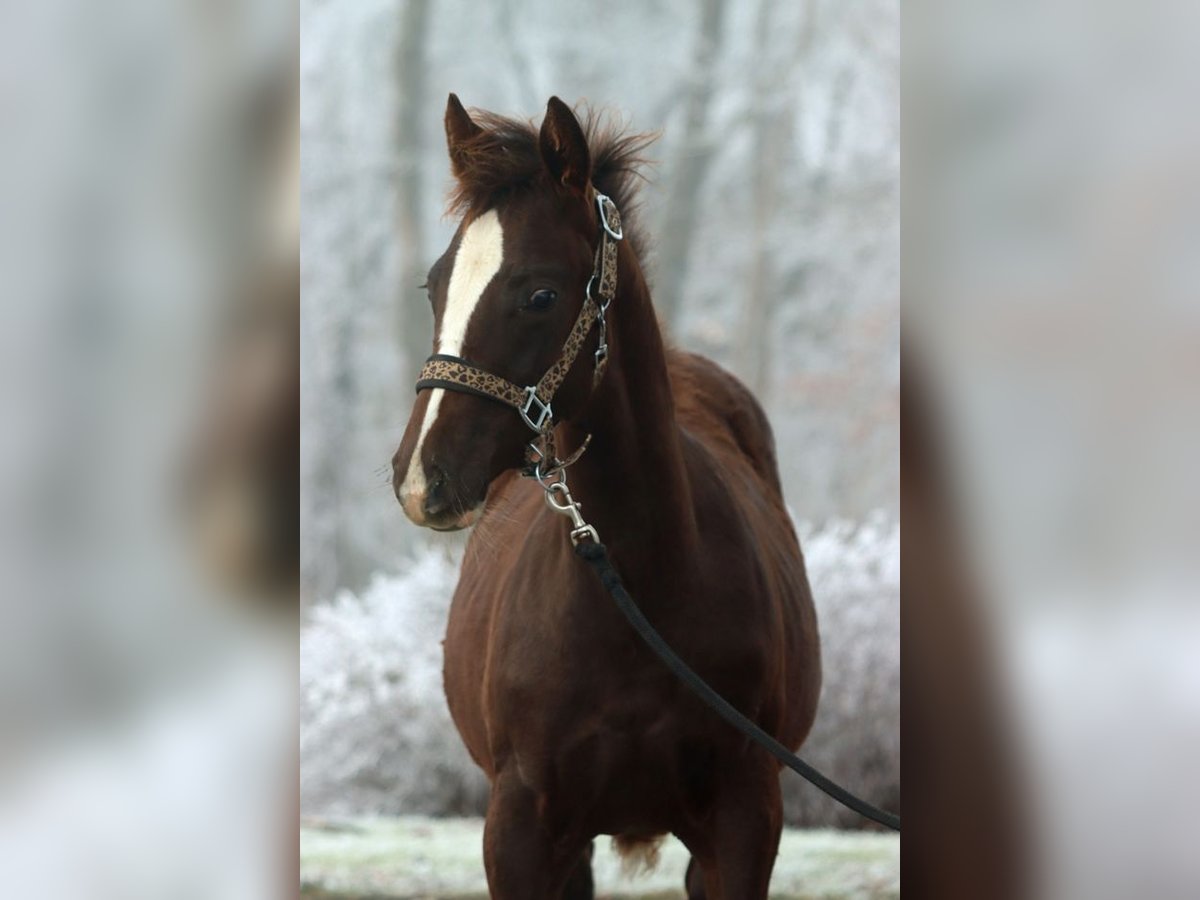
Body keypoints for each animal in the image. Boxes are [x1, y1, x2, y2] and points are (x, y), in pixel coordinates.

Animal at [393, 93, 825, 900]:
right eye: (435, 286)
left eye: (539, 293)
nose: (422, 478)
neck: (640, 590)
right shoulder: (521, 832)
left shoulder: (743, 826)